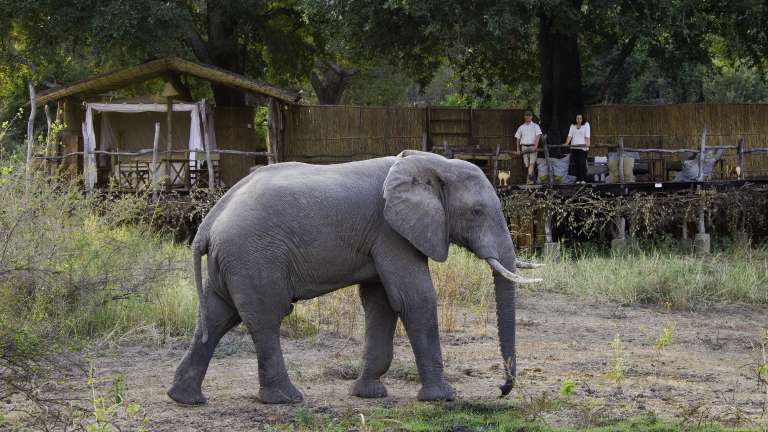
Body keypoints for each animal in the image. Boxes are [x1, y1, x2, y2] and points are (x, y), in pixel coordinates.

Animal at [167, 150, 542, 405]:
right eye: (476, 212)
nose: (502, 390)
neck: (431, 163)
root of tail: (208, 222)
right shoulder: (390, 231)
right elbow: (414, 298)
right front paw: (442, 398)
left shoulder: (383, 237)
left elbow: (381, 303)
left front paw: (368, 395)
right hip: (253, 256)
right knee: (265, 317)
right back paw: (286, 399)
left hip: (233, 260)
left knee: (216, 317)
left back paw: (184, 398)